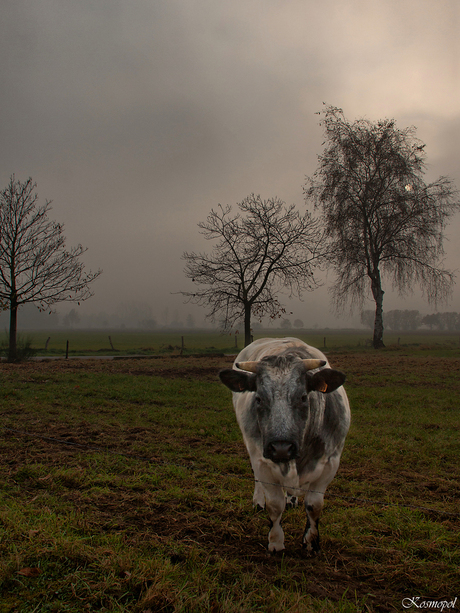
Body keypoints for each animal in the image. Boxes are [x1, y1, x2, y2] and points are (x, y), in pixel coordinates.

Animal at [218, 338, 348, 552]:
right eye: (258, 399)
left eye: (303, 397)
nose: (281, 448)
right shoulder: (262, 462)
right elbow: (274, 504)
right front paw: (276, 541)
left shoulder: (330, 463)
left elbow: (314, 505)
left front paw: (311, 542)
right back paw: (258, 502)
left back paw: (292, 500)